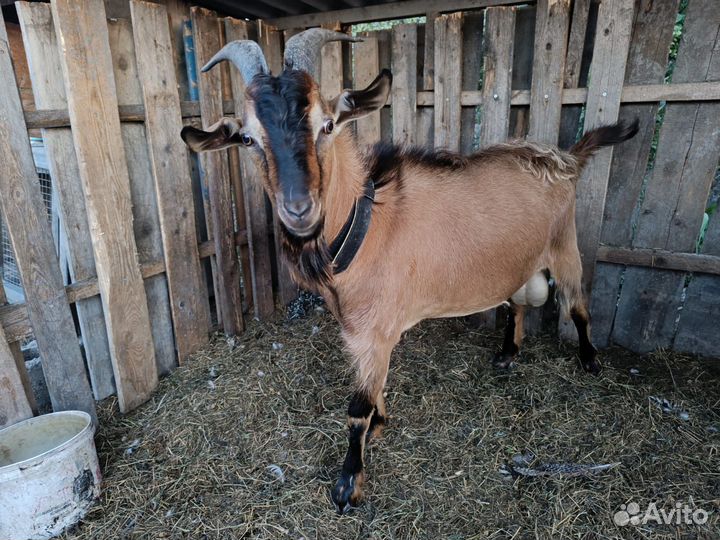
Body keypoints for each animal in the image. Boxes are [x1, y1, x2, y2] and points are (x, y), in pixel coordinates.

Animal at [181, 29, 639, 513]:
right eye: (248, 139)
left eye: (328, 125)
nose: (299, 209)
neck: (365, 224)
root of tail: (565, 158)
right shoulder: (360, 332)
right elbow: (375, 390)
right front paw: (382, 423)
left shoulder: (376, 330)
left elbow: (356, 409)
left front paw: (348, 484)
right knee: (517, 300)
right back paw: (507, 353)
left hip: (566, 245)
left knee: (578, 305)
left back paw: (590, 360)